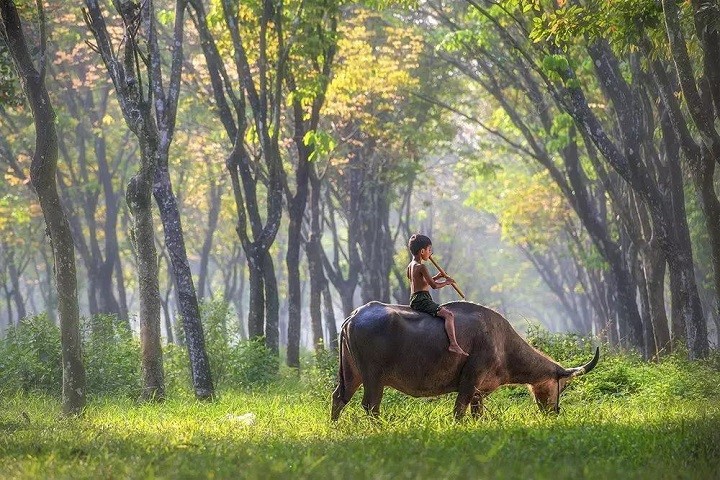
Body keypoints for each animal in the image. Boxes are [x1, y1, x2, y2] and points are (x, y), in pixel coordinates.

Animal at [330, 300, 596, 420]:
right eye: (563, 385)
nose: (556, 411)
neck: (502, 344)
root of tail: (355, 315)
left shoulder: (479, 392)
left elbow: (477, 414)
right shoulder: (469, 382)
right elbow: (459, 411)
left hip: (352, 374)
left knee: (339, 397)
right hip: (373, 377)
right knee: (371, 405)